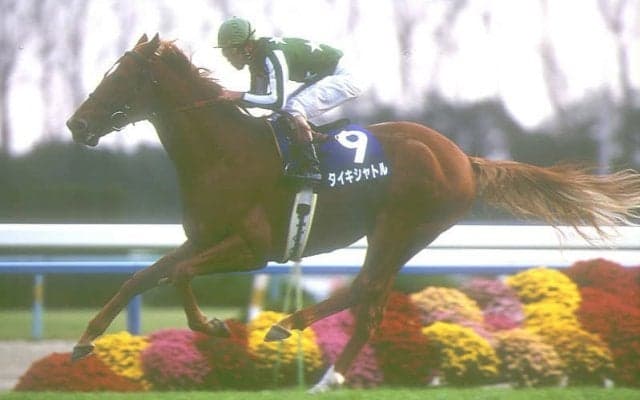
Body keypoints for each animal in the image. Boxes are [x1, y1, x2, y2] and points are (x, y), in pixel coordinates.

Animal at [66, 33, 640, 392]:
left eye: (123, 78)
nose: (76, 124)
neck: (223, 151)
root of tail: (464, 159)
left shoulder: (251, 248)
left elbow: (180, 274)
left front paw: (215, 327)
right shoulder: (204, 237)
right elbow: (142, 277)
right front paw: (85, 342)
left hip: (402, 225)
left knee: (365, 289)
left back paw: (294, 335)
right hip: (399, 235)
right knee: (372, 302)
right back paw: (326, 373)